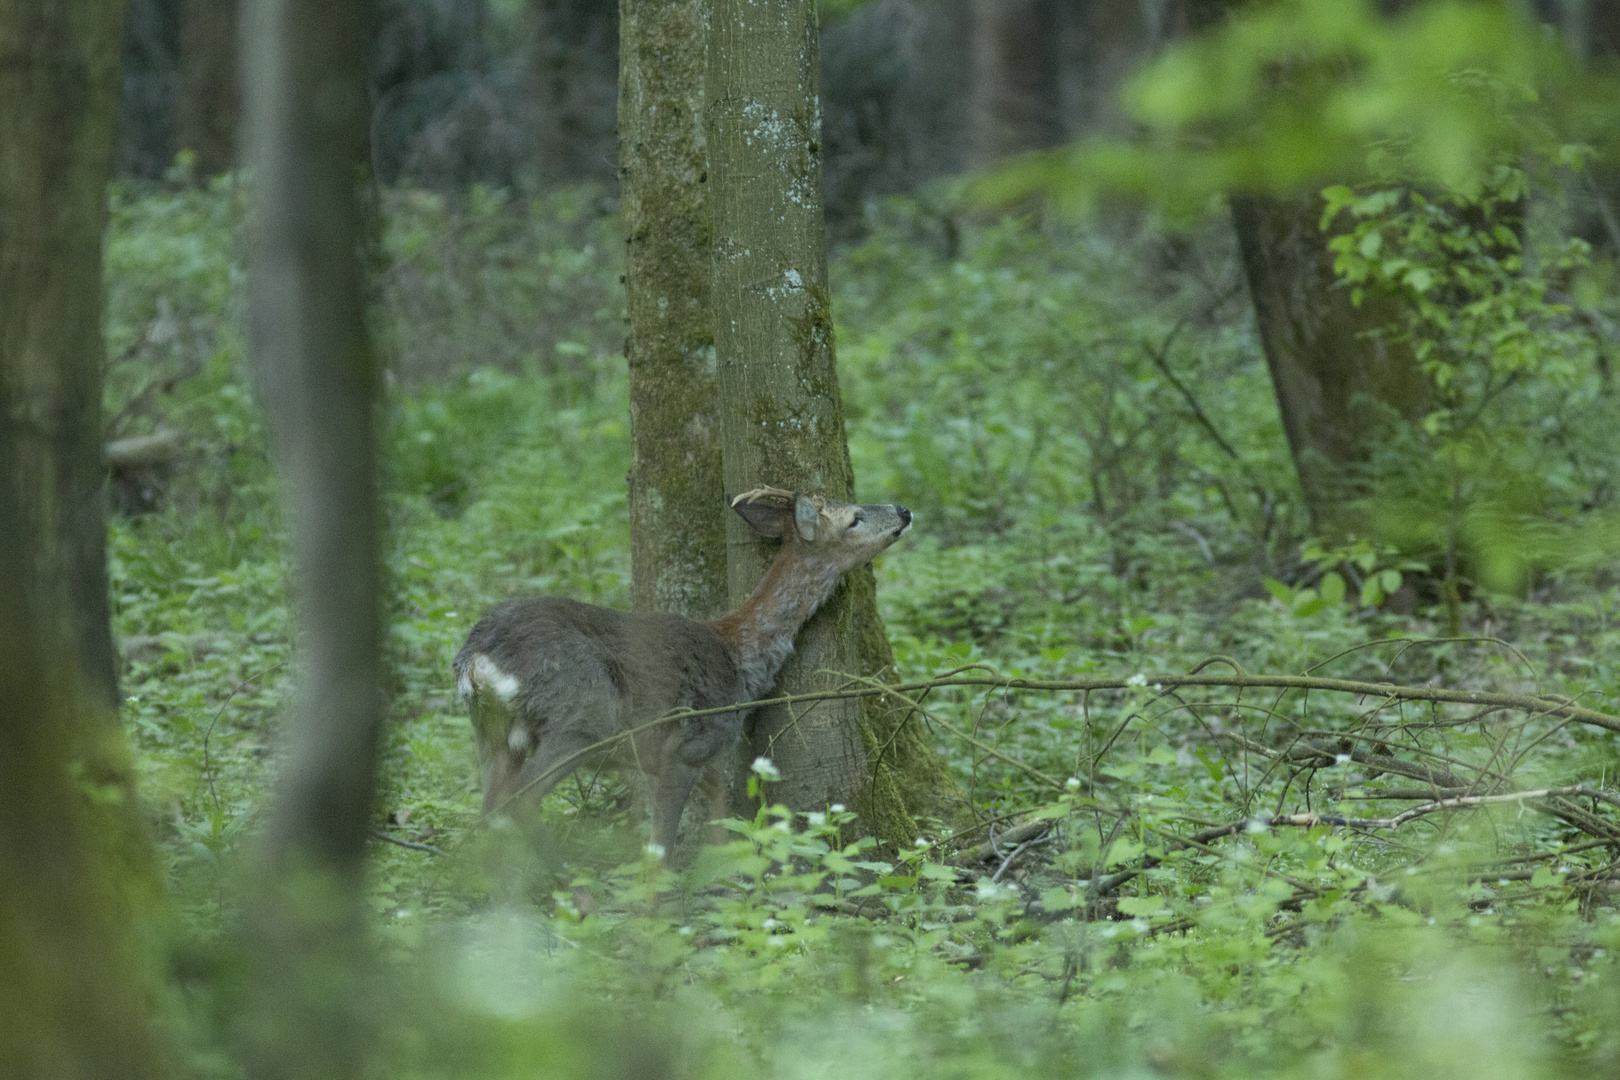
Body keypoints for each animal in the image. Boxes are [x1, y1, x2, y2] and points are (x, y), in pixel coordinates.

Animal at [453, 488, 913, 854]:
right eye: (854, 517)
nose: (904, 510)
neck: (740, 655)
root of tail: (477, 656)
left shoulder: (665, 755)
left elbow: (721, 799)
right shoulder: (690, 742)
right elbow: (660, 844)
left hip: (492, 731)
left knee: (489, 808)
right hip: (581, 718)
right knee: (518, 801)